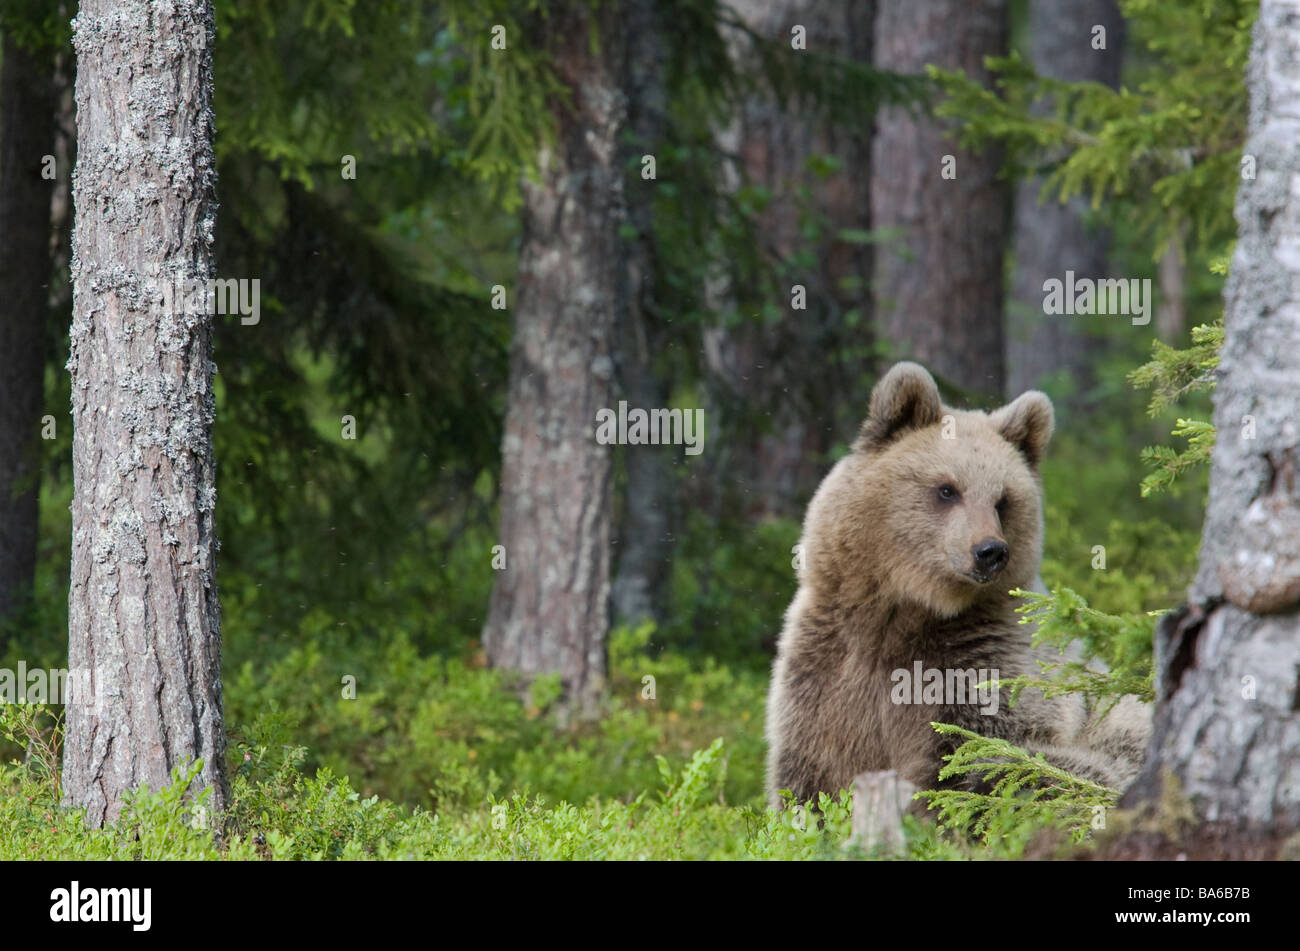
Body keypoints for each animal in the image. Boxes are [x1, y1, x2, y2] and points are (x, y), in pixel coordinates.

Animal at [759, 361, 1149, 805]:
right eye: (947, 489)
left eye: (1002, 500)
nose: (990, 551)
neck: (907, 610)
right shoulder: (826, 666)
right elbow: (809, 773)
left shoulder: (981, 662)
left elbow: (979, 752)